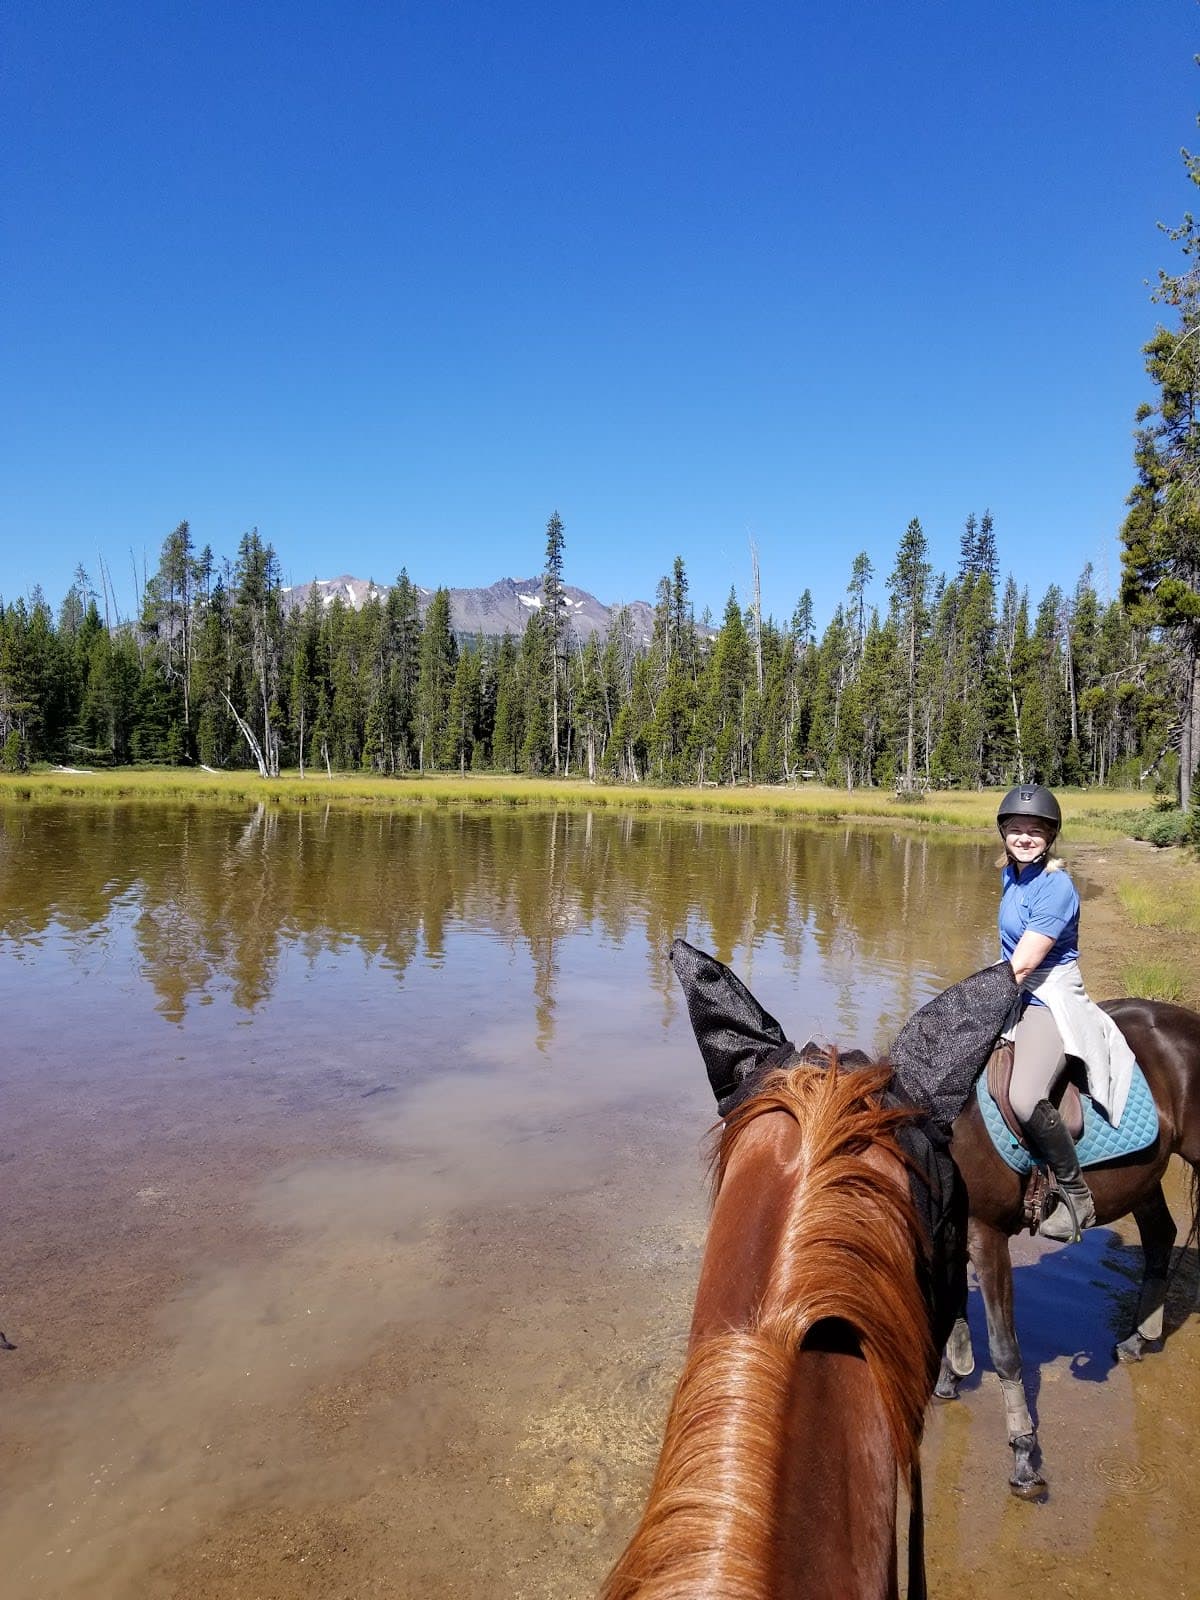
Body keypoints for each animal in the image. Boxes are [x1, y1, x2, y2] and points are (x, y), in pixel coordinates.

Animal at [934, 995, 1200, 1499]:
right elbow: (953, 1317)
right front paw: (949, 1379)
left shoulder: (985, 1234)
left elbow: (1004, 1348)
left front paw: (1023, 1455)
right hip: (1142, 1178)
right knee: (1160, 1237)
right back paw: (1137, 1340)